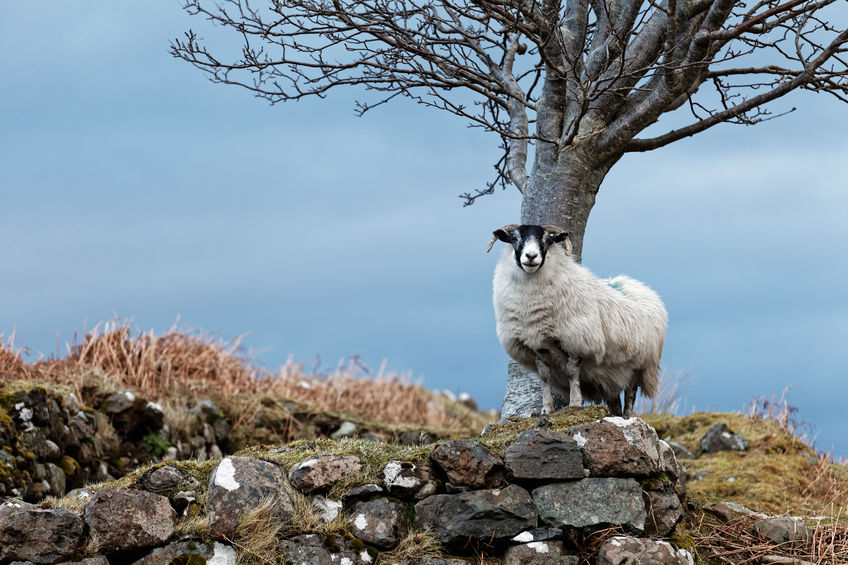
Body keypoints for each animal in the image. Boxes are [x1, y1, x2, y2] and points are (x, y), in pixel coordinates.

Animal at [486, 223, 664, 416]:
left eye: (547, 240)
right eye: (515, 238)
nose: (531, 257)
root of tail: (636, 285)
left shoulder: (577, 341)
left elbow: (571, 373)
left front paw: (575, 404)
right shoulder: (537, 346)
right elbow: (544, 376)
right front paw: (546, 409)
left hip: (638, 367)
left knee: (630, 394)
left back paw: (627, 416)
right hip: (610, 375)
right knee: (614, 399)